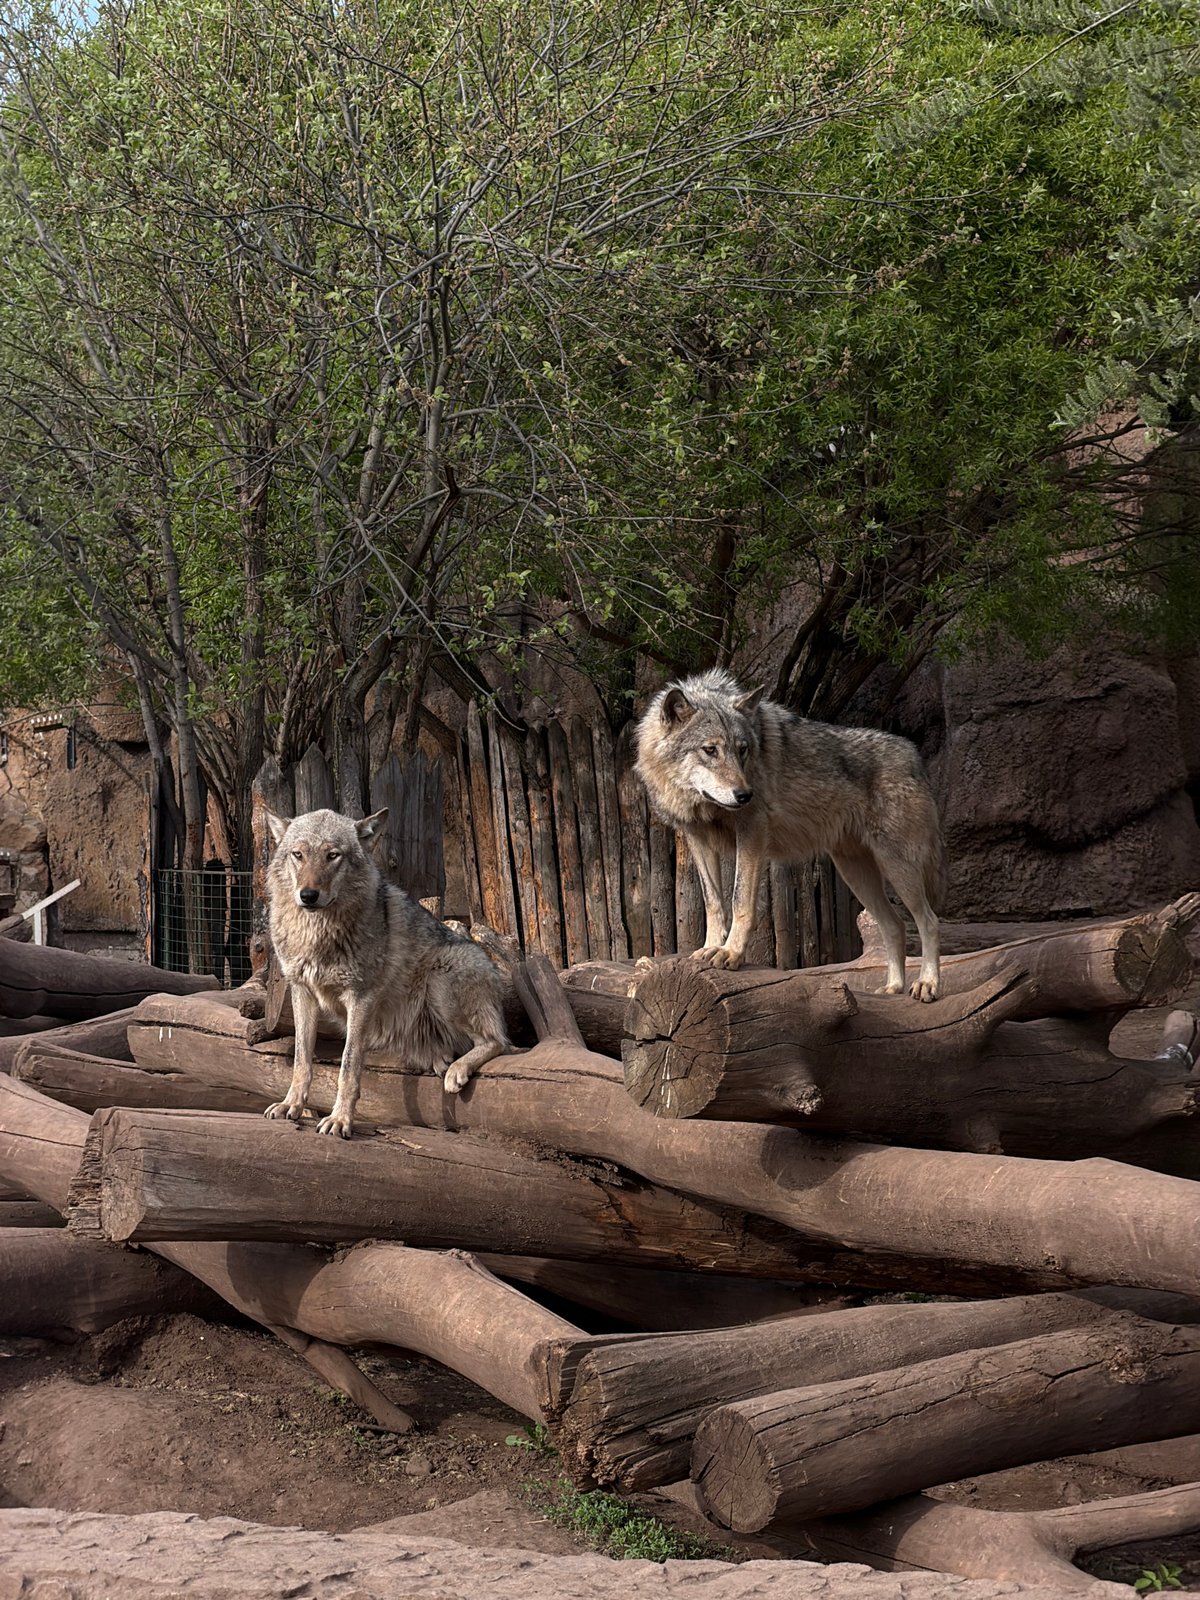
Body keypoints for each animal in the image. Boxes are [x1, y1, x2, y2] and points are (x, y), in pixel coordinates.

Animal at [262, 807, 508, 1139]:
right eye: (298, 855)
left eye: (333, 855)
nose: (308, 895)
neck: (317, 933)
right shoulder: (302, 992)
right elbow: (302, 1060)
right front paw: (291, 1106)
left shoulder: (361, 998)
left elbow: (348, 1066)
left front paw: (340, 1120)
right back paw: (441, 1059)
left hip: (439, 978)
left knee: (499, 1041)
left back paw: (457, 1070)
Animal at [635, 668, 944, 1000]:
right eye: (710, 750)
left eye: (743, 750)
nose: (745, 795)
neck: (700, 804)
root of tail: (914, 756)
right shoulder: (697, 840)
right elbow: (713, 902)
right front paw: (710, 947)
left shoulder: (752, 831)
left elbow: (740, 900)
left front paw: (731, 953)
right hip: (855, 873)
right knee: (895, 926)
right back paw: (892, 988)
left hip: (896, 867)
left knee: (929, 921)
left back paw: (927, 983)